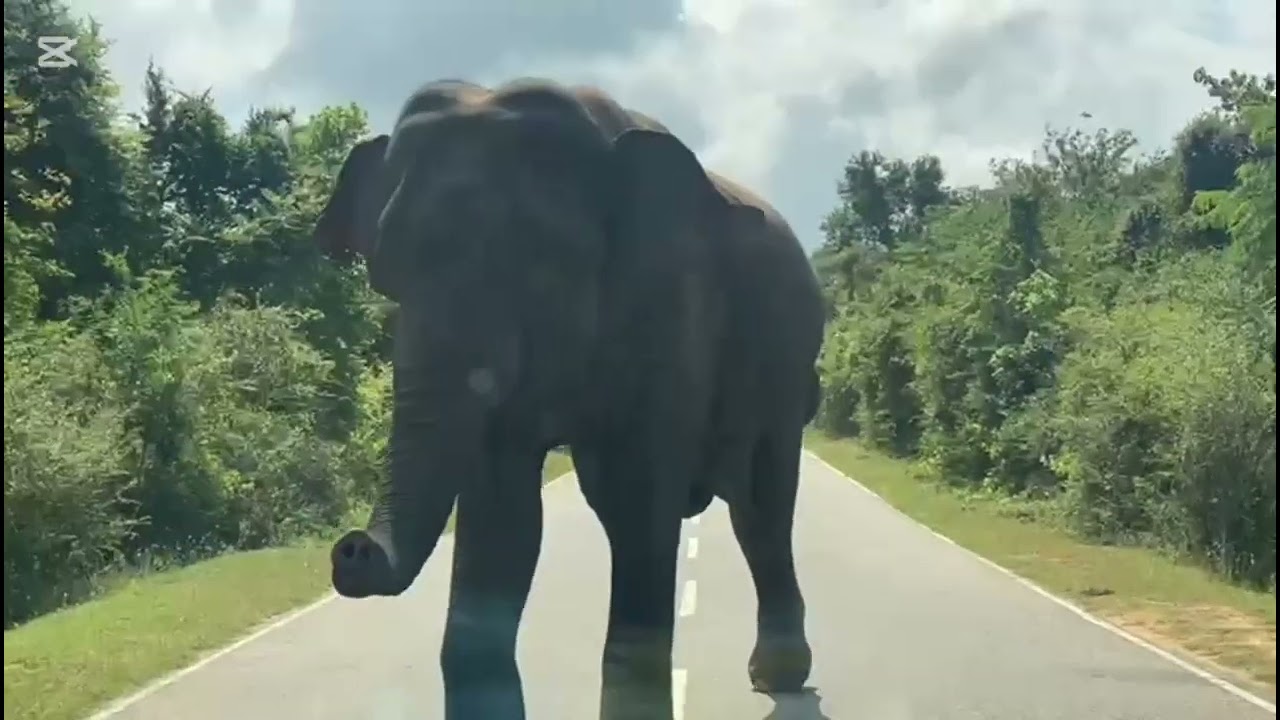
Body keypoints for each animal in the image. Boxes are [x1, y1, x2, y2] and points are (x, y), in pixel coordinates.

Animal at [311, 77, 827, 720]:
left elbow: (641, 498)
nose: (350, 549)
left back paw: (779, 676)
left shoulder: (673, 302)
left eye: (534, 264)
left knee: (761, 509)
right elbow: (501, 513)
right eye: (386, 275)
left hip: (785, 364)